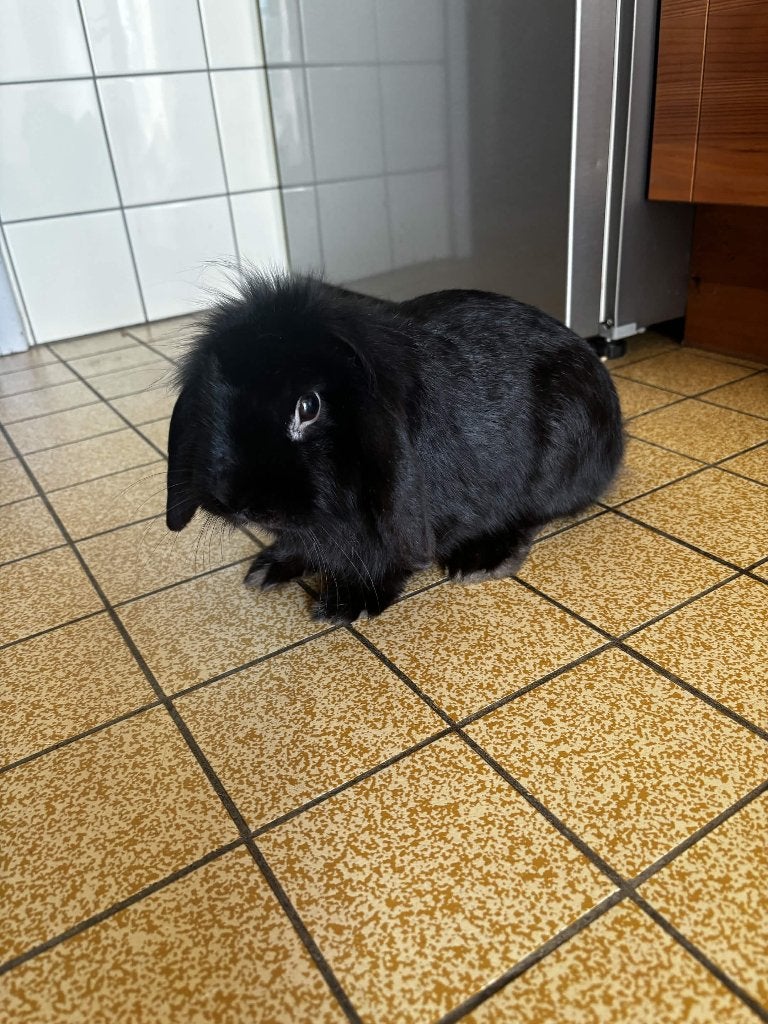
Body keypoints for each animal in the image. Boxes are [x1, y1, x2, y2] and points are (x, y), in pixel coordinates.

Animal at [166, 272, 623, 623]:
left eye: (309, 406)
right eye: (211, 399)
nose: (241, 503)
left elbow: (385, 558)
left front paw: (347, 604)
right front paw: (270, 567)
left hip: (560, 451)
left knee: (539, 513)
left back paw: (484, 558)